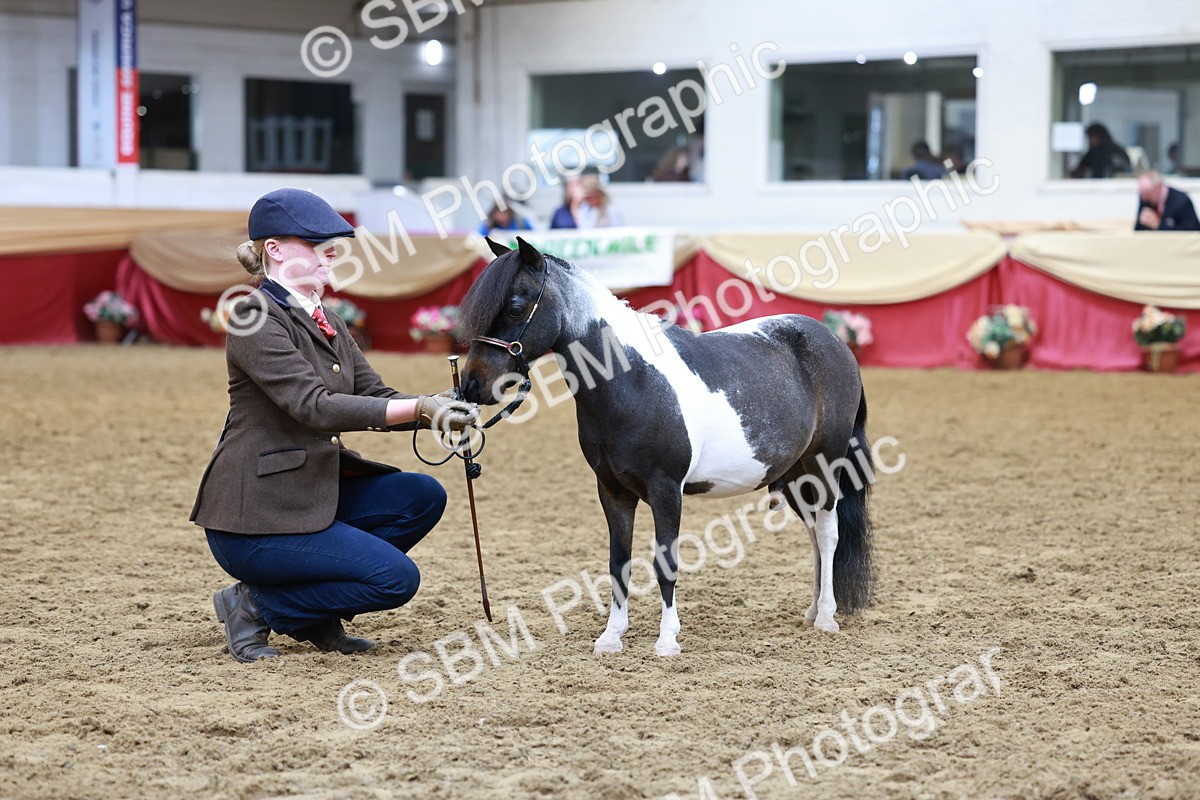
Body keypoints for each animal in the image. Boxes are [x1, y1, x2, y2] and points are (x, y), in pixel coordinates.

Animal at [458, 237, 874, 656]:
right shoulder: (612, 491)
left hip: (824, 463)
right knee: (814, 534)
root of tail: (835, 343)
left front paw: (667, 639)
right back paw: (811, 612)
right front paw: (612, 636)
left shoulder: (666, 490)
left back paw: (826, 618)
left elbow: (665, 562)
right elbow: (618, 562)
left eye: (515, 305)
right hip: (795, 476)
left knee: (828, 533)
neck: (633, 380)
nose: (472, 385)